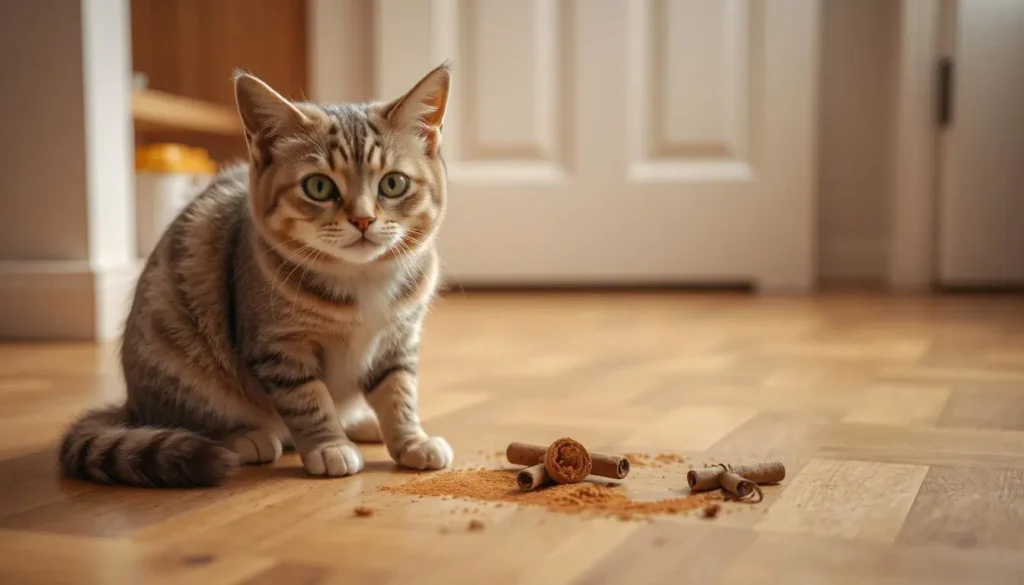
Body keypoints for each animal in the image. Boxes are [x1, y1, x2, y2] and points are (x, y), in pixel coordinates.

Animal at [58, 63, 454, 485]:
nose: (363, 219)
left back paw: (362, 420)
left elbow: (399, 393)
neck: (361, 279)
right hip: (179, 366)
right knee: (188, 419)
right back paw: (247, 439)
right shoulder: (279, 347)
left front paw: (412, 441)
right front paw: (329, 446)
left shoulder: (399, 340)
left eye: (393, 183)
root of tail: (132, 406)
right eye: (318, 186)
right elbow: (308, 400)